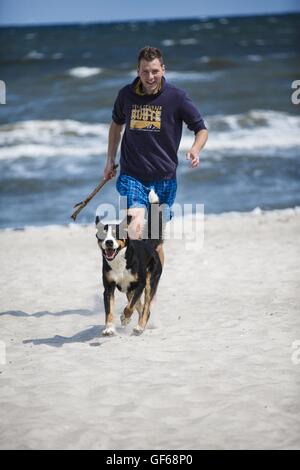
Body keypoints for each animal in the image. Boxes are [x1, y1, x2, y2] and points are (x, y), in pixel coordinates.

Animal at [95, 189, 164, 336]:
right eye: (102, 235)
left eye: (116, 234)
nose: (109, 242)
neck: (119, 261)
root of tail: (147, 244)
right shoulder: (108, 287)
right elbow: (109, 311)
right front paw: (109, 328)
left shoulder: (140, 284)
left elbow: (130, 307)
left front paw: (125, 318)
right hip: (129, 289)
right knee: (141, 306)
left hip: (150, 282)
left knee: (146, 307)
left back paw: (139, 327)